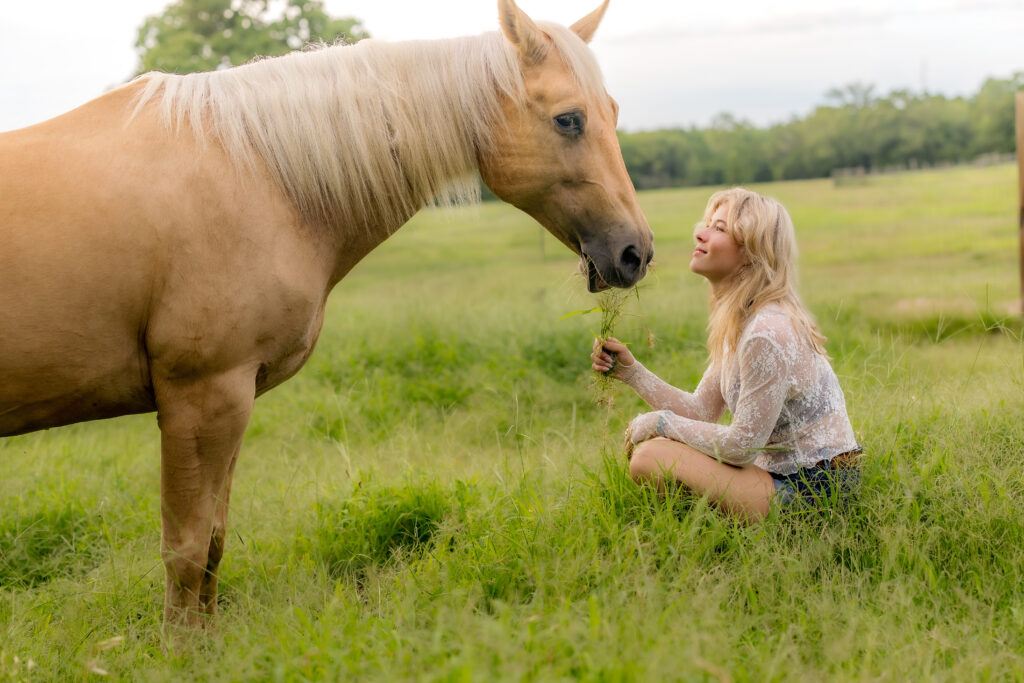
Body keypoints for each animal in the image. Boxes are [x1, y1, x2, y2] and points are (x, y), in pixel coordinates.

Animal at [0, 0, 652, 630]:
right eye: (569, 119)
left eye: (614, 110)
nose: (636, 252)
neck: (259, 174)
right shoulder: (202, 398)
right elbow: (184, 550)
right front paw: (181, 649)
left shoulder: (230, 402)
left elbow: (213, 542)